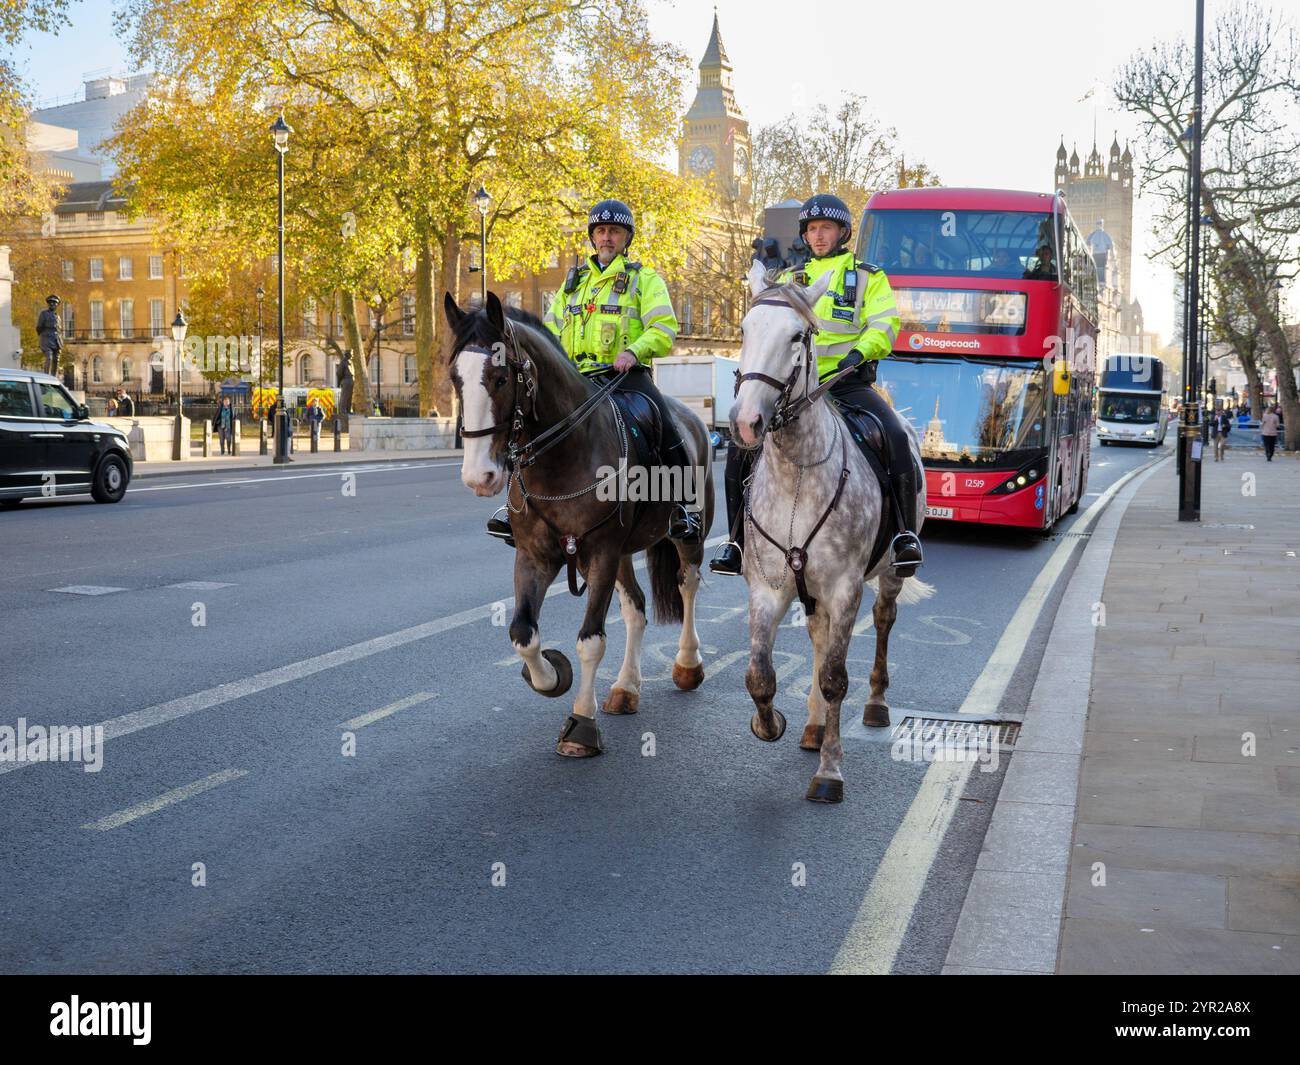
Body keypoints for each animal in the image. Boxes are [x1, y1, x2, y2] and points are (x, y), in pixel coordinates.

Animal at [444, 291, 712, 759]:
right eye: (456, 379)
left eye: (501, 378)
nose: (480, 477)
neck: (563, 455)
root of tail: (693, 417)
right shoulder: (535, 556)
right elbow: (523, 633)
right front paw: (549, 677)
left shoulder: (601, 552)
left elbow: (591, 641)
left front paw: (582, 724)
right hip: (622, 553)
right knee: (636, 608)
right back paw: (626, 687)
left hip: (685, 535)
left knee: (688, 585)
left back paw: (687, 665)